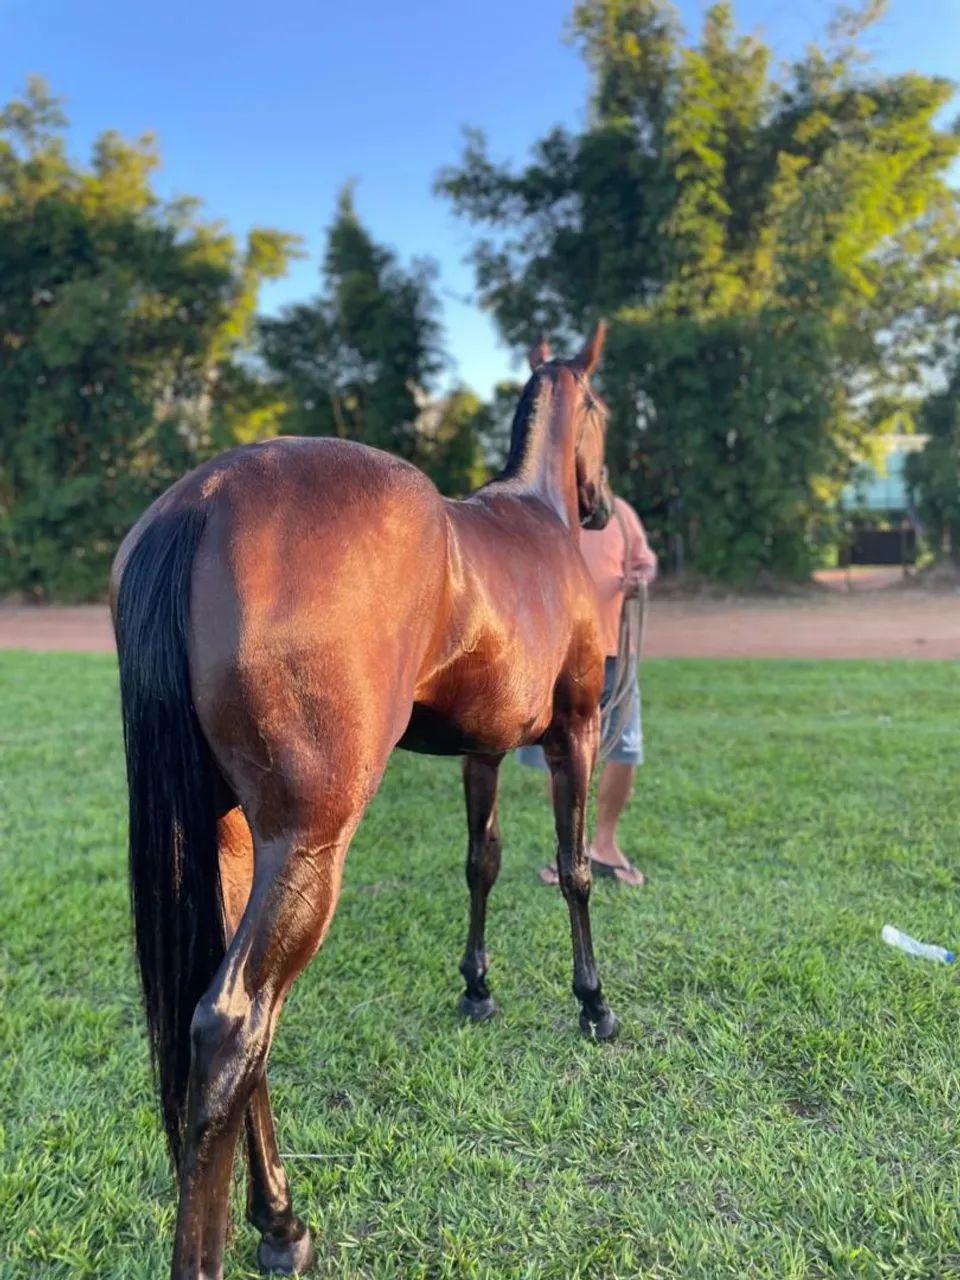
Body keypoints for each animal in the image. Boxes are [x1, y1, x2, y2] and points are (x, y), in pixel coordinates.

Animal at [111, 321, 619, 1278]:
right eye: (604, 412)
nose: (603, 503)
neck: (535, 518)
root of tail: (205, 498)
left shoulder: (482, 752)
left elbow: (482, 863)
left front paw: (476, 988)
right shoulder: (574, 733)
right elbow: (573, 870)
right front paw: (594, 1004)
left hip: (235, 843)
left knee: (236, 1031)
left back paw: (282, 1221)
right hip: (310, 846)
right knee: (234, 1025)